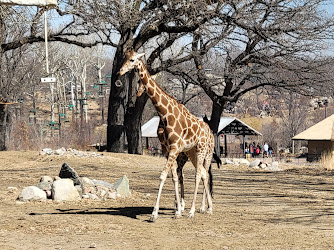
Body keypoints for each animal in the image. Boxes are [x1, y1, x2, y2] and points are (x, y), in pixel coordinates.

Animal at [120, 48, 217, 221]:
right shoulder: (168, 150)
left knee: (200, 174)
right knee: (203, 174)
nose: (120, 71)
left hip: (203, 151)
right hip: (192, 152)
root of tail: (209, 131)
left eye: (132, 60)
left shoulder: (174, 149)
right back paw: (207, 208)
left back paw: (195, 210)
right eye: (124, 58)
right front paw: (177, 210)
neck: (165, 114)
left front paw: (155, 213)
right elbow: (174, 176)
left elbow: (164, 175)